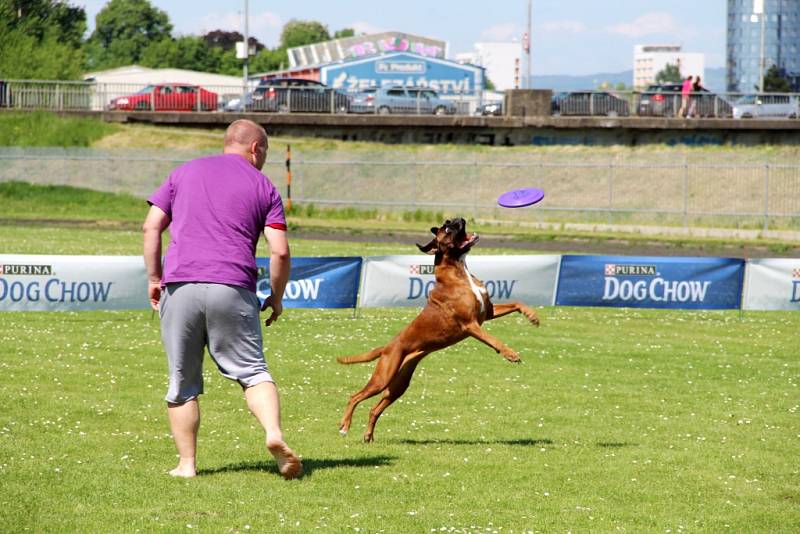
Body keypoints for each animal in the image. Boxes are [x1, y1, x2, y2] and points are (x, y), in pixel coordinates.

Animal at [334, 218, 540, 444]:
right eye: (448, 229)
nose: (459, 219)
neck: (459, 272)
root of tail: (387, 347)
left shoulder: (488, 313)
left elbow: (517, 303)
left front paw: (532, 316)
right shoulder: (471, 325)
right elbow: (493, 340)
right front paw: (510, 354)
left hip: (398, 385)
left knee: (374, 409)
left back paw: (368, 436)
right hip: (382, 378)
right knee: (354, 396)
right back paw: (344, 426)